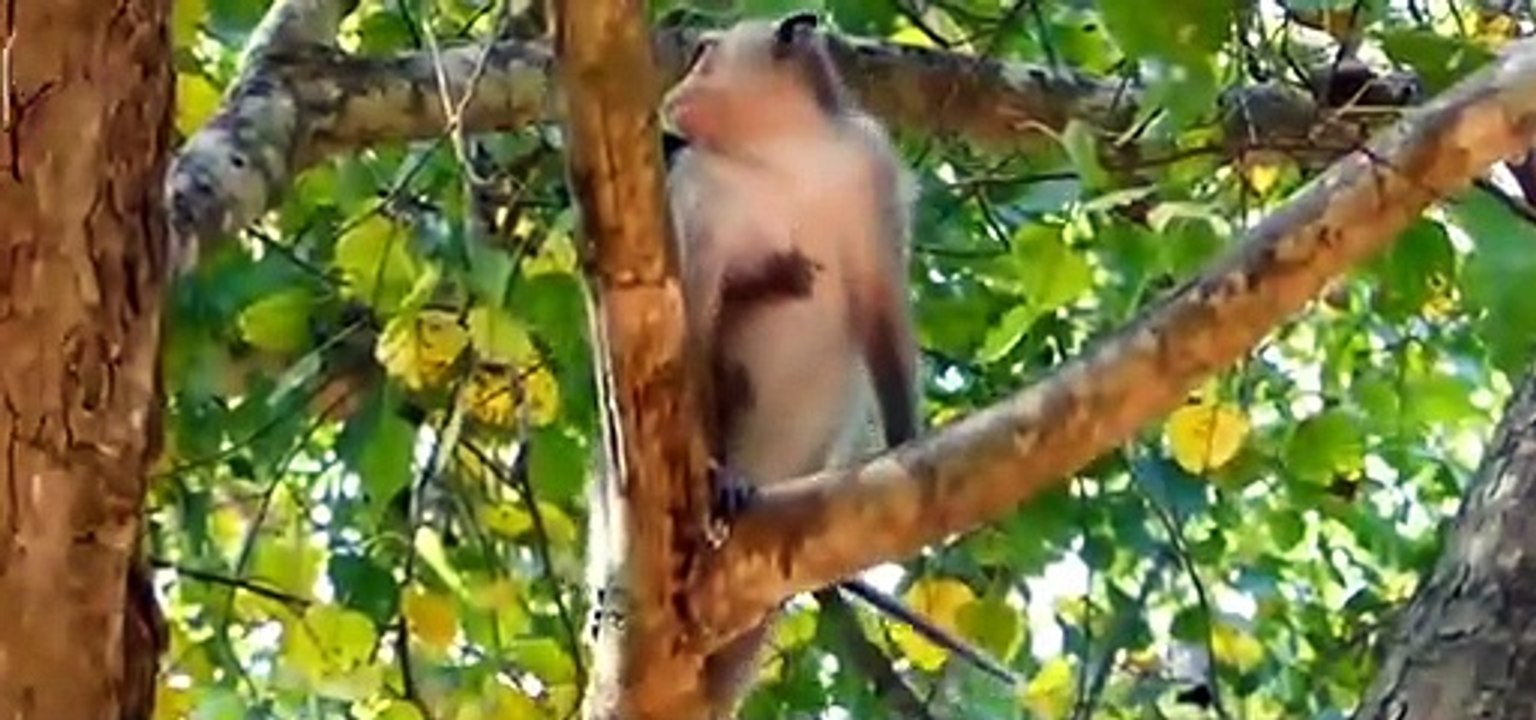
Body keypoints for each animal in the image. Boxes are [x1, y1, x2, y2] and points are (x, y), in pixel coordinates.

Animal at [658, 12, 1019, 717]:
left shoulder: (867, 169)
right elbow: (698, 322)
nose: (674, 91)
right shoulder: (697, 190)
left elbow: (880, 307)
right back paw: (728, 477)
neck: (780, 152)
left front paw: (910, 440)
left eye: (704, 54)